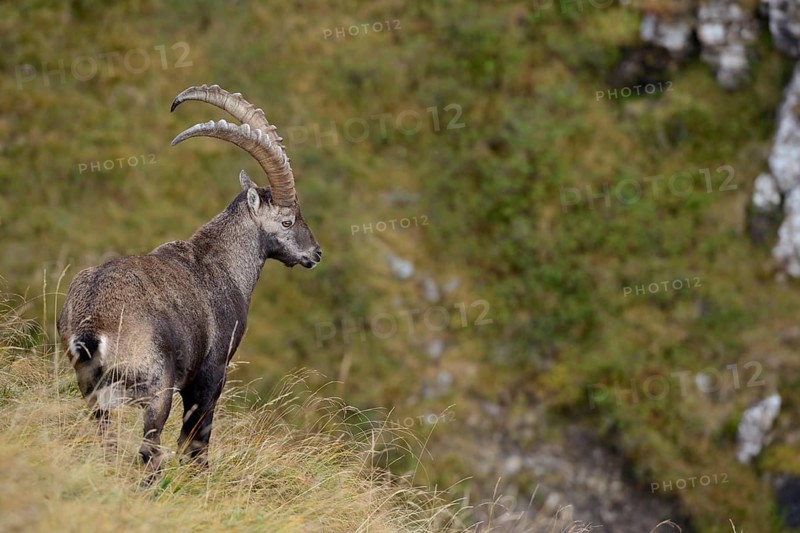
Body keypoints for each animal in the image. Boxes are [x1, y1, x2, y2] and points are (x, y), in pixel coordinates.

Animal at [57, 84, 321, 480]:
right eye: (287, 221)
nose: (315, 253)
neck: (222, 263)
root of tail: (92, 324)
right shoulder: (210, 375)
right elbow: (197, 440)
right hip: (156, 390)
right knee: (149, 449)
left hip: (91, 389)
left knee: (107, 441)